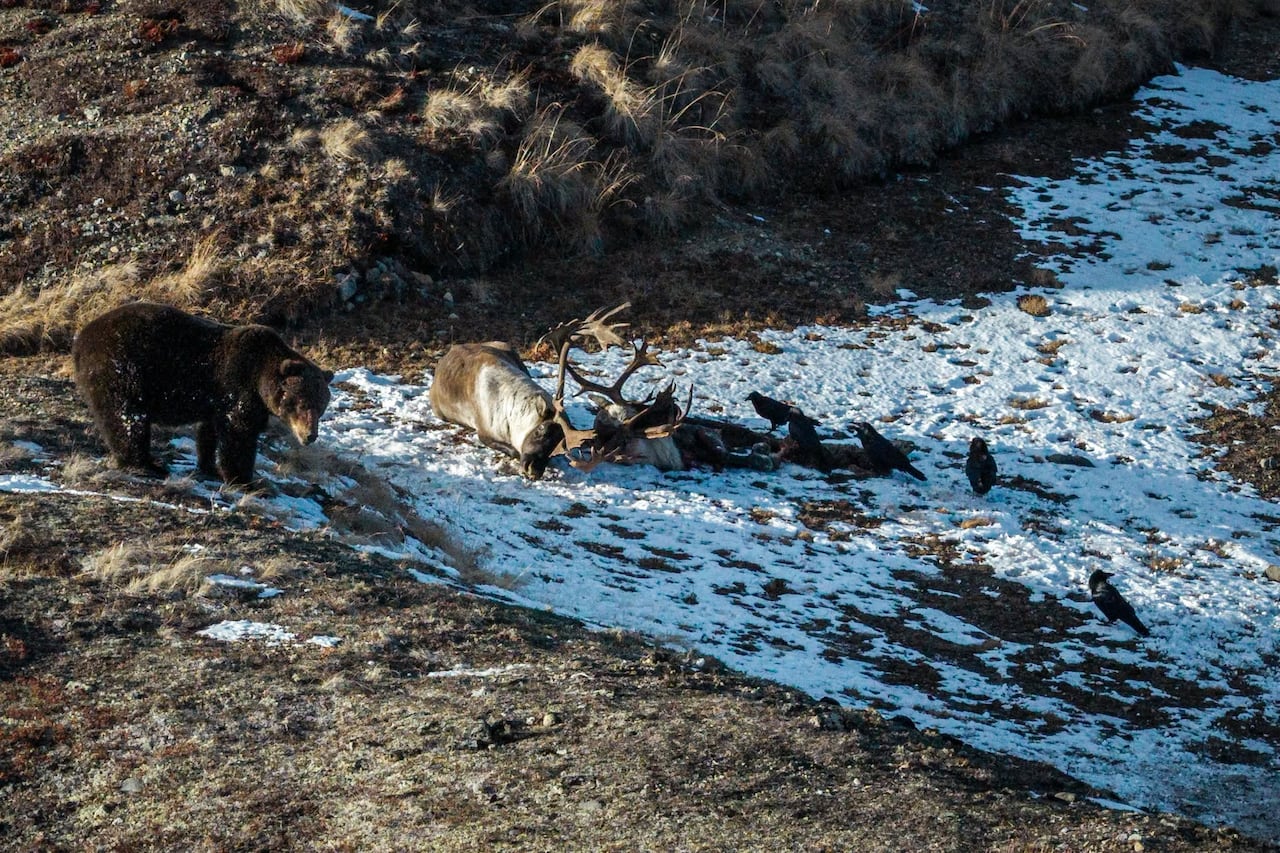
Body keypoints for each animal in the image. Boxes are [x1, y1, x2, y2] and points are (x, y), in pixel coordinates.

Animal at [72, 301, 334, 486]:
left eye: (321, 408)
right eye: (301, 404)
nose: (310, 436)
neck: (261, 378)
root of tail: (82, 339)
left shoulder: (217, 400)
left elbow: (209, 432)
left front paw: (209, 467)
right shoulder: (238, 387)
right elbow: (239, 434)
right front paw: (245, 480)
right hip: (124, 370)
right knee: (127, 419)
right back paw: (144, 465)